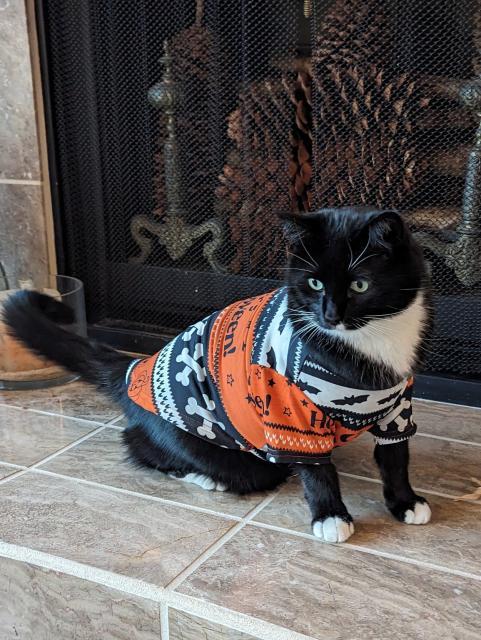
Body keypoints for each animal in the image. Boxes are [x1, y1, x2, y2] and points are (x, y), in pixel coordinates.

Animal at [2, 208, 432, 544]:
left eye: (360, 283)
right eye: (313, 282)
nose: (329, 315)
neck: (371, 341)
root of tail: (133, 370)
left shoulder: (399, 405)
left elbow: (396, 455)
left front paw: (406, 502)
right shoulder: (289, 409)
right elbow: (316, 468)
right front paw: (330, 517)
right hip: (210, 445)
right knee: (143, 445)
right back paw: (203, 476)